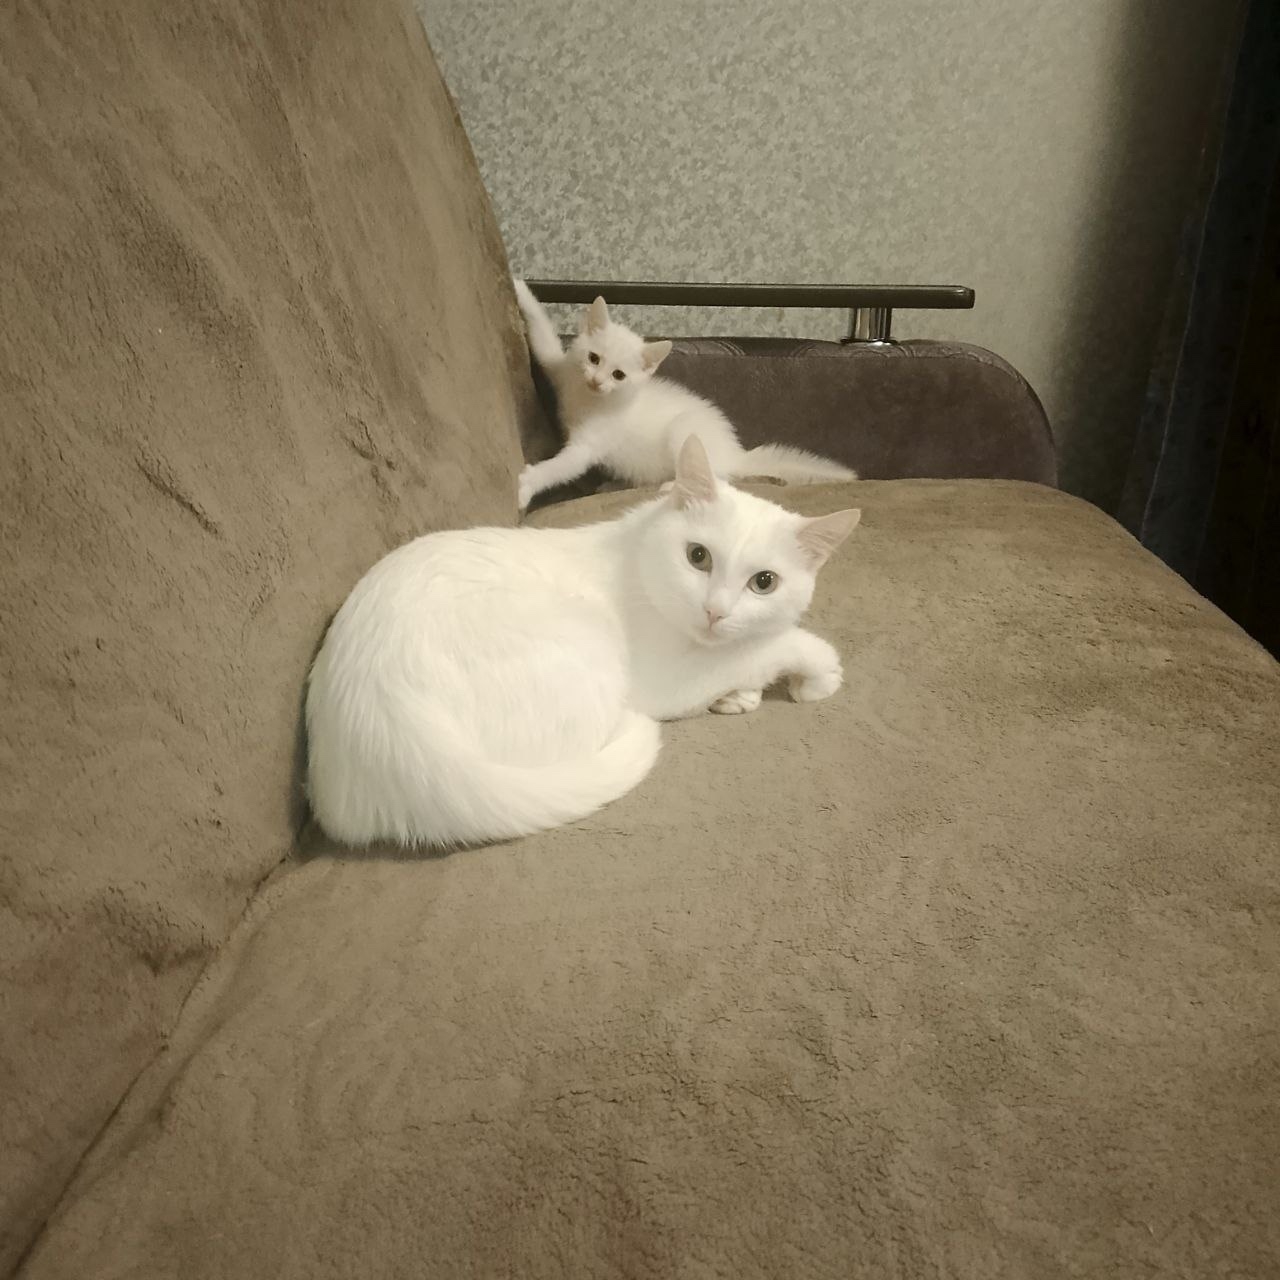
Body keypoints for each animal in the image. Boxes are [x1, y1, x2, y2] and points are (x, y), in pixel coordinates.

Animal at [306, 434, 861, 849]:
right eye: (697, 556)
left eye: (764, 583)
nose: (715, 611)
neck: (638, 555)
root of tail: (399, 744)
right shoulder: (666, 681)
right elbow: (765, 648)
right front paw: (815, 673)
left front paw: (743, 692)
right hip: (589, 647)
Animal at [513, 280, 857, 509]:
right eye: (593, 358)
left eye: (618, 375)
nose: (597, 381)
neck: (589, 399)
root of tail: (735, 452)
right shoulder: (562, 370)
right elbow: (544, 343)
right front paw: (520, 290)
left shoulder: (589, 444)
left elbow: (563, 466)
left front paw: (526, 485)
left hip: (684, 431)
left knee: (720, 476)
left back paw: (672, 485)